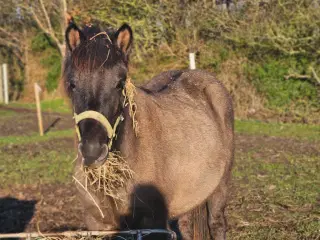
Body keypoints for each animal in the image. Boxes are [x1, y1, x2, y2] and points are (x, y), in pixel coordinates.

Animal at [62, 20, 234, 240]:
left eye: (120, 82)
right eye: (72, 84)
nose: (92, 151)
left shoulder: (153, 225)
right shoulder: (100, 224)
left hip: (220, 187)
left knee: (217, 223)